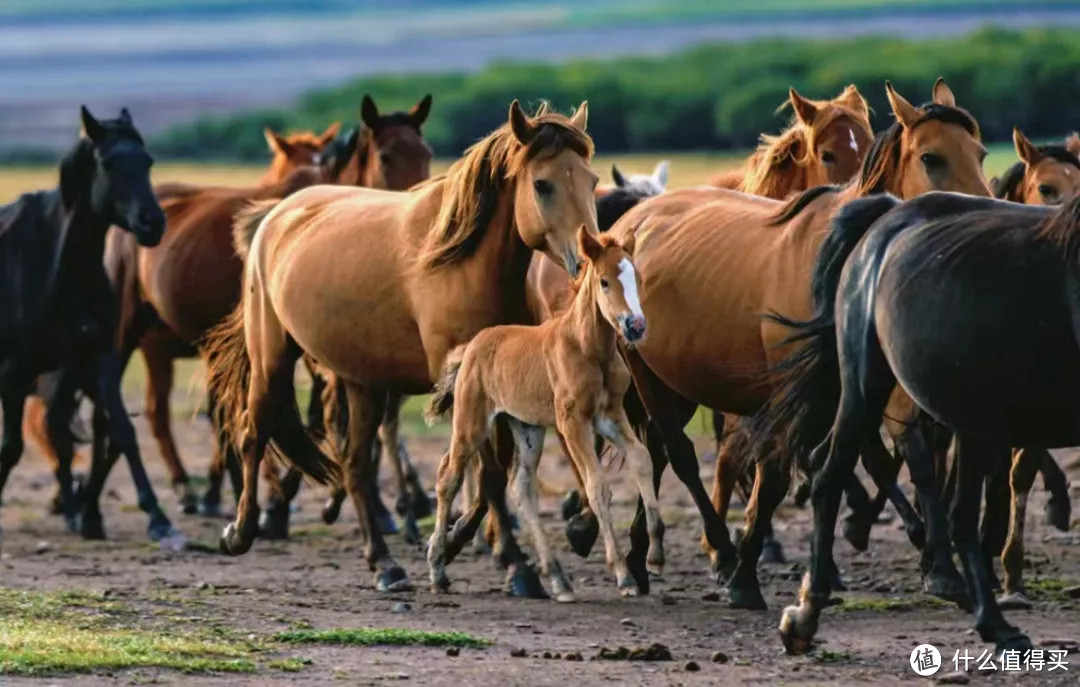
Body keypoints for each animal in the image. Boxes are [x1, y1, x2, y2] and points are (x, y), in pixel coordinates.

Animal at [0, 108, 171, 546]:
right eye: (109, 164)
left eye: (148, 162)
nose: (152, 224)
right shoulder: (14, 373)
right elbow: (12, 448)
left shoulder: (96, 359)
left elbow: (122, 431)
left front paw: (159, 518)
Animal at [205, 99, 596, 591]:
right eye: (542, 184)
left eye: (592, 181)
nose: (588, 256)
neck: (464, 262)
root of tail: (277, 215)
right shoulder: (468, 387)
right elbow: (487, 474)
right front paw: (514, 564)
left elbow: (493, 473)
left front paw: (457, 542)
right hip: (270, 359)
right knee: (253, 431)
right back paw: (240, 531)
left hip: (362, 383)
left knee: (355, 465)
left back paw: (384, 562)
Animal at [423, 227, 656, 600]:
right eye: (604, 281)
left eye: (638, 277)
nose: (635, 326)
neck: (590, 349)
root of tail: (472, 346)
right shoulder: (572, 422)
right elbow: (596, 486)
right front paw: (624, 575)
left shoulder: (610, 415)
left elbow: (641, 458)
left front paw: (655, 552)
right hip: (471, 422)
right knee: (448, 476)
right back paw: (437, 571)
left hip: (527, 427)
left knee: (521, 488)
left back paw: (559, 580)